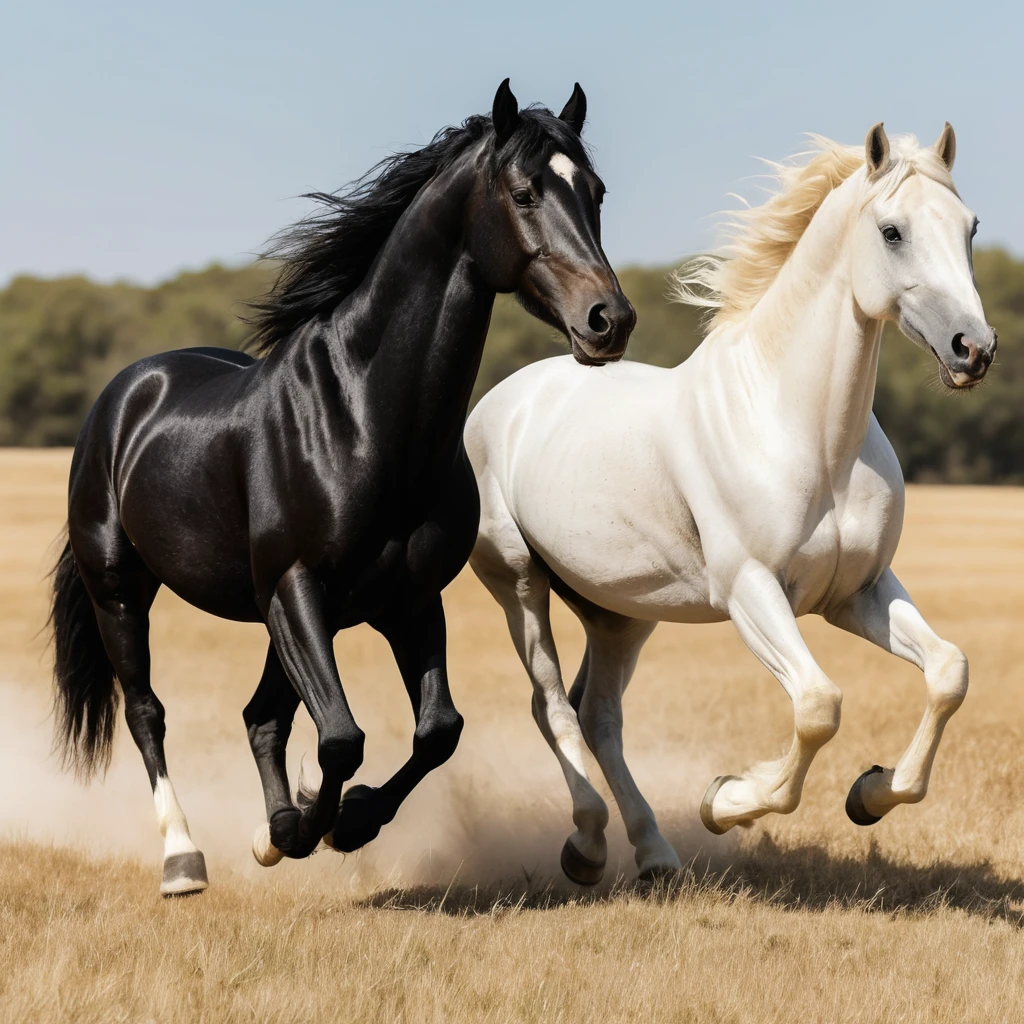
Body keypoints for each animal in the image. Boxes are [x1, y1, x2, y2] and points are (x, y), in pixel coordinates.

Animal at [49, 79, 636, 896]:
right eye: (523, 192)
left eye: (597, 192)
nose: (609, 320)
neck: (363, 420)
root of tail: (128, 390)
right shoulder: (298, 589)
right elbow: (341, 739)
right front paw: (315, 826)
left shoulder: (406, 601)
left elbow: (436, 731)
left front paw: (332, 823)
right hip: (123, 591)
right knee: (147, 712)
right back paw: (184, 860)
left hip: (273, 617)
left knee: (261, 716)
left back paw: (270, 831)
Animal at [467, 123, 995, 884]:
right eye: (892, 232)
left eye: (970, 227)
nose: (972, 350)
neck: (803, 432)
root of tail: (502, 401)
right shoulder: (751, 592)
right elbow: (818, 706)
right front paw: (724, 799)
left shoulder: (858, 592)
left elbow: (949, 673)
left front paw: (869, 794)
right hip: (519, 585)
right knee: (553, 708)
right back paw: (588, 848)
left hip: (620, 614)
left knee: (599, 717)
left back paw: (654, 855)